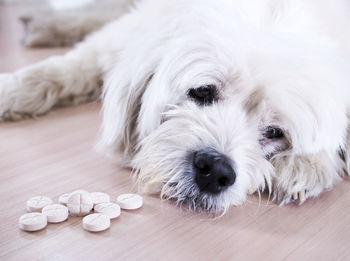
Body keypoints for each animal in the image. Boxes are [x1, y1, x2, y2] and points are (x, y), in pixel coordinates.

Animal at [0, 0, 350, 211]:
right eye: (203, 91)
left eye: (276, 132)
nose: (215, 170)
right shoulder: (136, 30)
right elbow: (69, 66)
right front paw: (15, 89)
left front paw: (305, 165)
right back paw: (46, 24)